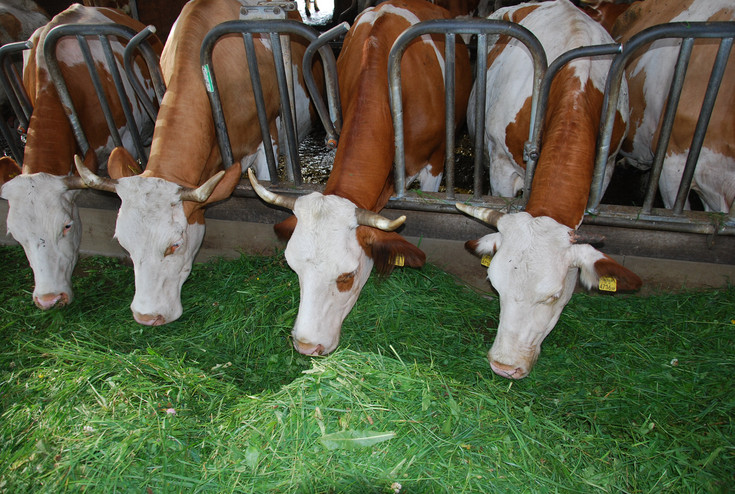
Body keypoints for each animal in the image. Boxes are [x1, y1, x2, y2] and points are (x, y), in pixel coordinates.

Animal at [460, 0, 640, 380]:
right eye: (495, 286)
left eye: (554, 296)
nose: (503, 366)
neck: (576, 83)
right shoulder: (502, 166)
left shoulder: (607, 167)